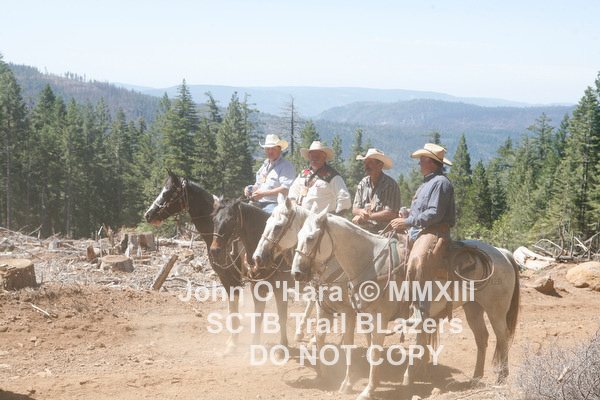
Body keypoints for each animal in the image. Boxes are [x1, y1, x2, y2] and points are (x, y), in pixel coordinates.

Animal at [144, 170, 244, 353]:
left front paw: (234, 342)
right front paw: (232, 340)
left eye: (167, 192)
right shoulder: (224, 276)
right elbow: (232, 306)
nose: (148, 214)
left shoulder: (233, 276)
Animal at [210, 198, 296, 353]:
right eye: (214, 219)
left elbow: (282, 316)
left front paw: (282, 348)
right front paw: (254, 347)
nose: (214, 250)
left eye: (231, 220)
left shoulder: (281, 289)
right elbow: (257, 317)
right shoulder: (256, 288)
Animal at [291, 208, 520, 400]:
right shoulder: (357, 315)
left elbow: (374, 351)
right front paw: (347, 384)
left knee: (502, 337)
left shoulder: (378, 319)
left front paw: (368, 390)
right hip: (472, 308)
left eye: (311, 238)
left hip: (495, 310)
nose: (297, 273)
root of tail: (502, 253)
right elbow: (353, 345)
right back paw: (474, 378)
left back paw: (501, 377)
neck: (371, 261)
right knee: (481, 338)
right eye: (298, 236)